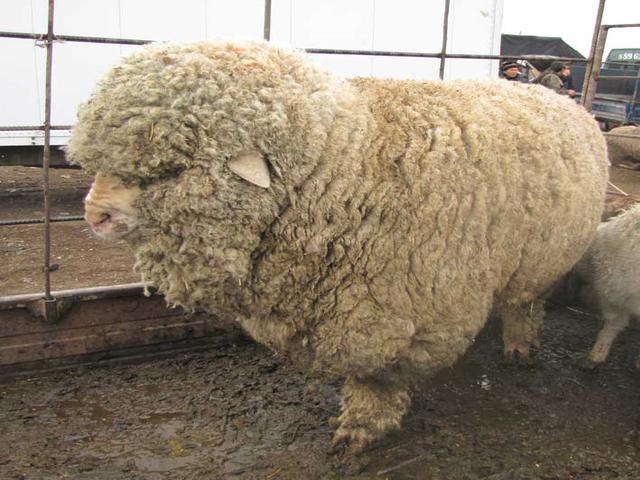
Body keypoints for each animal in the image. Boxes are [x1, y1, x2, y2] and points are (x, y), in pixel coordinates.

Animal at [67, 41, 609, 452]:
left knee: (526, 303)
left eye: (170, 170)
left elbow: (378, 380)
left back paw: (519, 344)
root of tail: (558, 98)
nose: (95, 215)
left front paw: (362, 430)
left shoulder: (398, 314)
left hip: (543, 257)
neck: (346, 167)